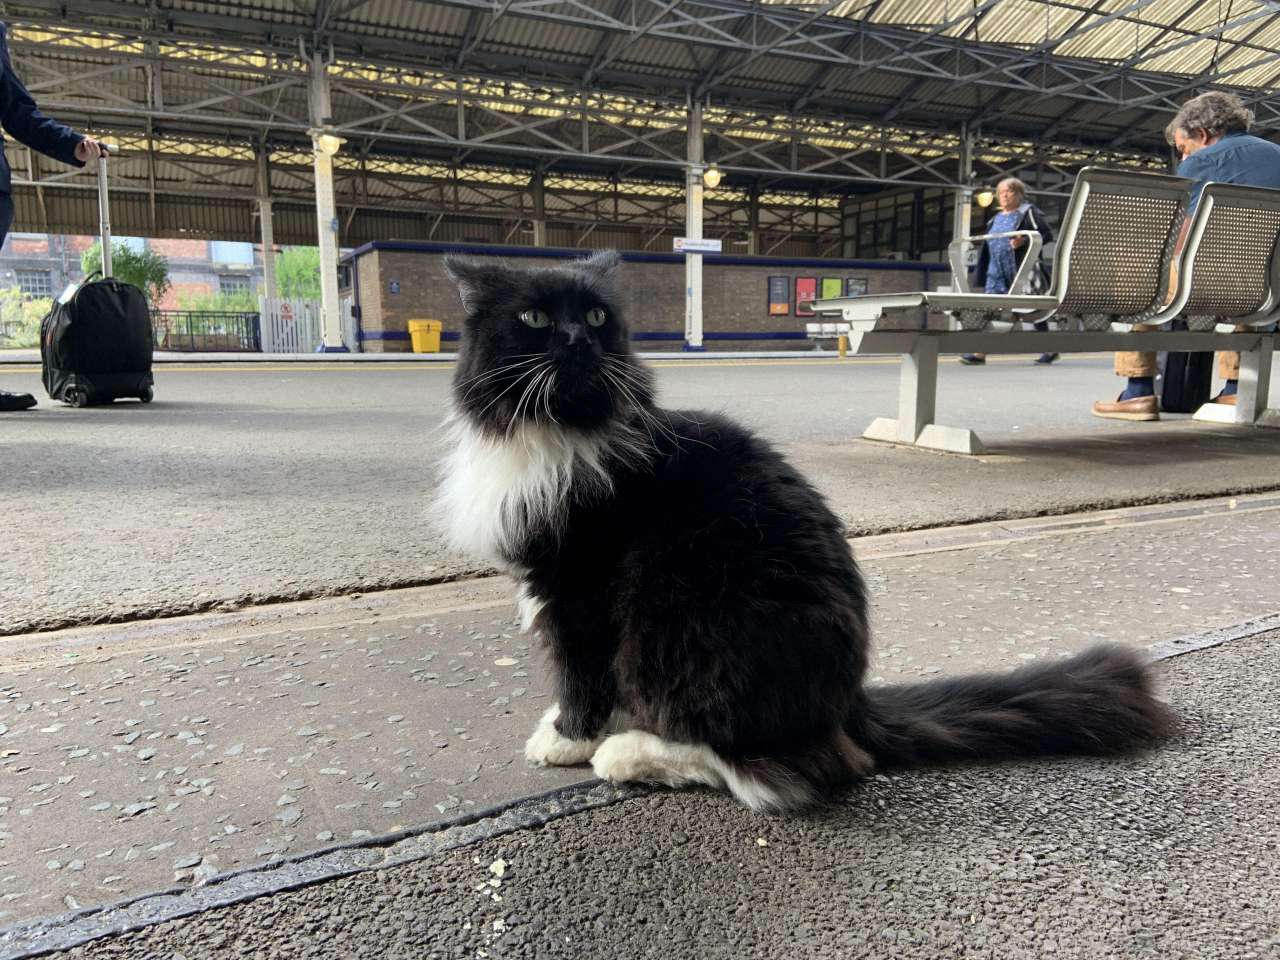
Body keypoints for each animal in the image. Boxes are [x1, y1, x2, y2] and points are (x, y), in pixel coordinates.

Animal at [435, 252, 1172, 814]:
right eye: (534, 318)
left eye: (594, 317)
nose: (579, 341)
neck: (560, 433)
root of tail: (849, 706)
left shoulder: (578, 587)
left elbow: (579, 677)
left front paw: (566, 739)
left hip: (680, 623)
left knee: (782, 769)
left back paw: (629, 753)